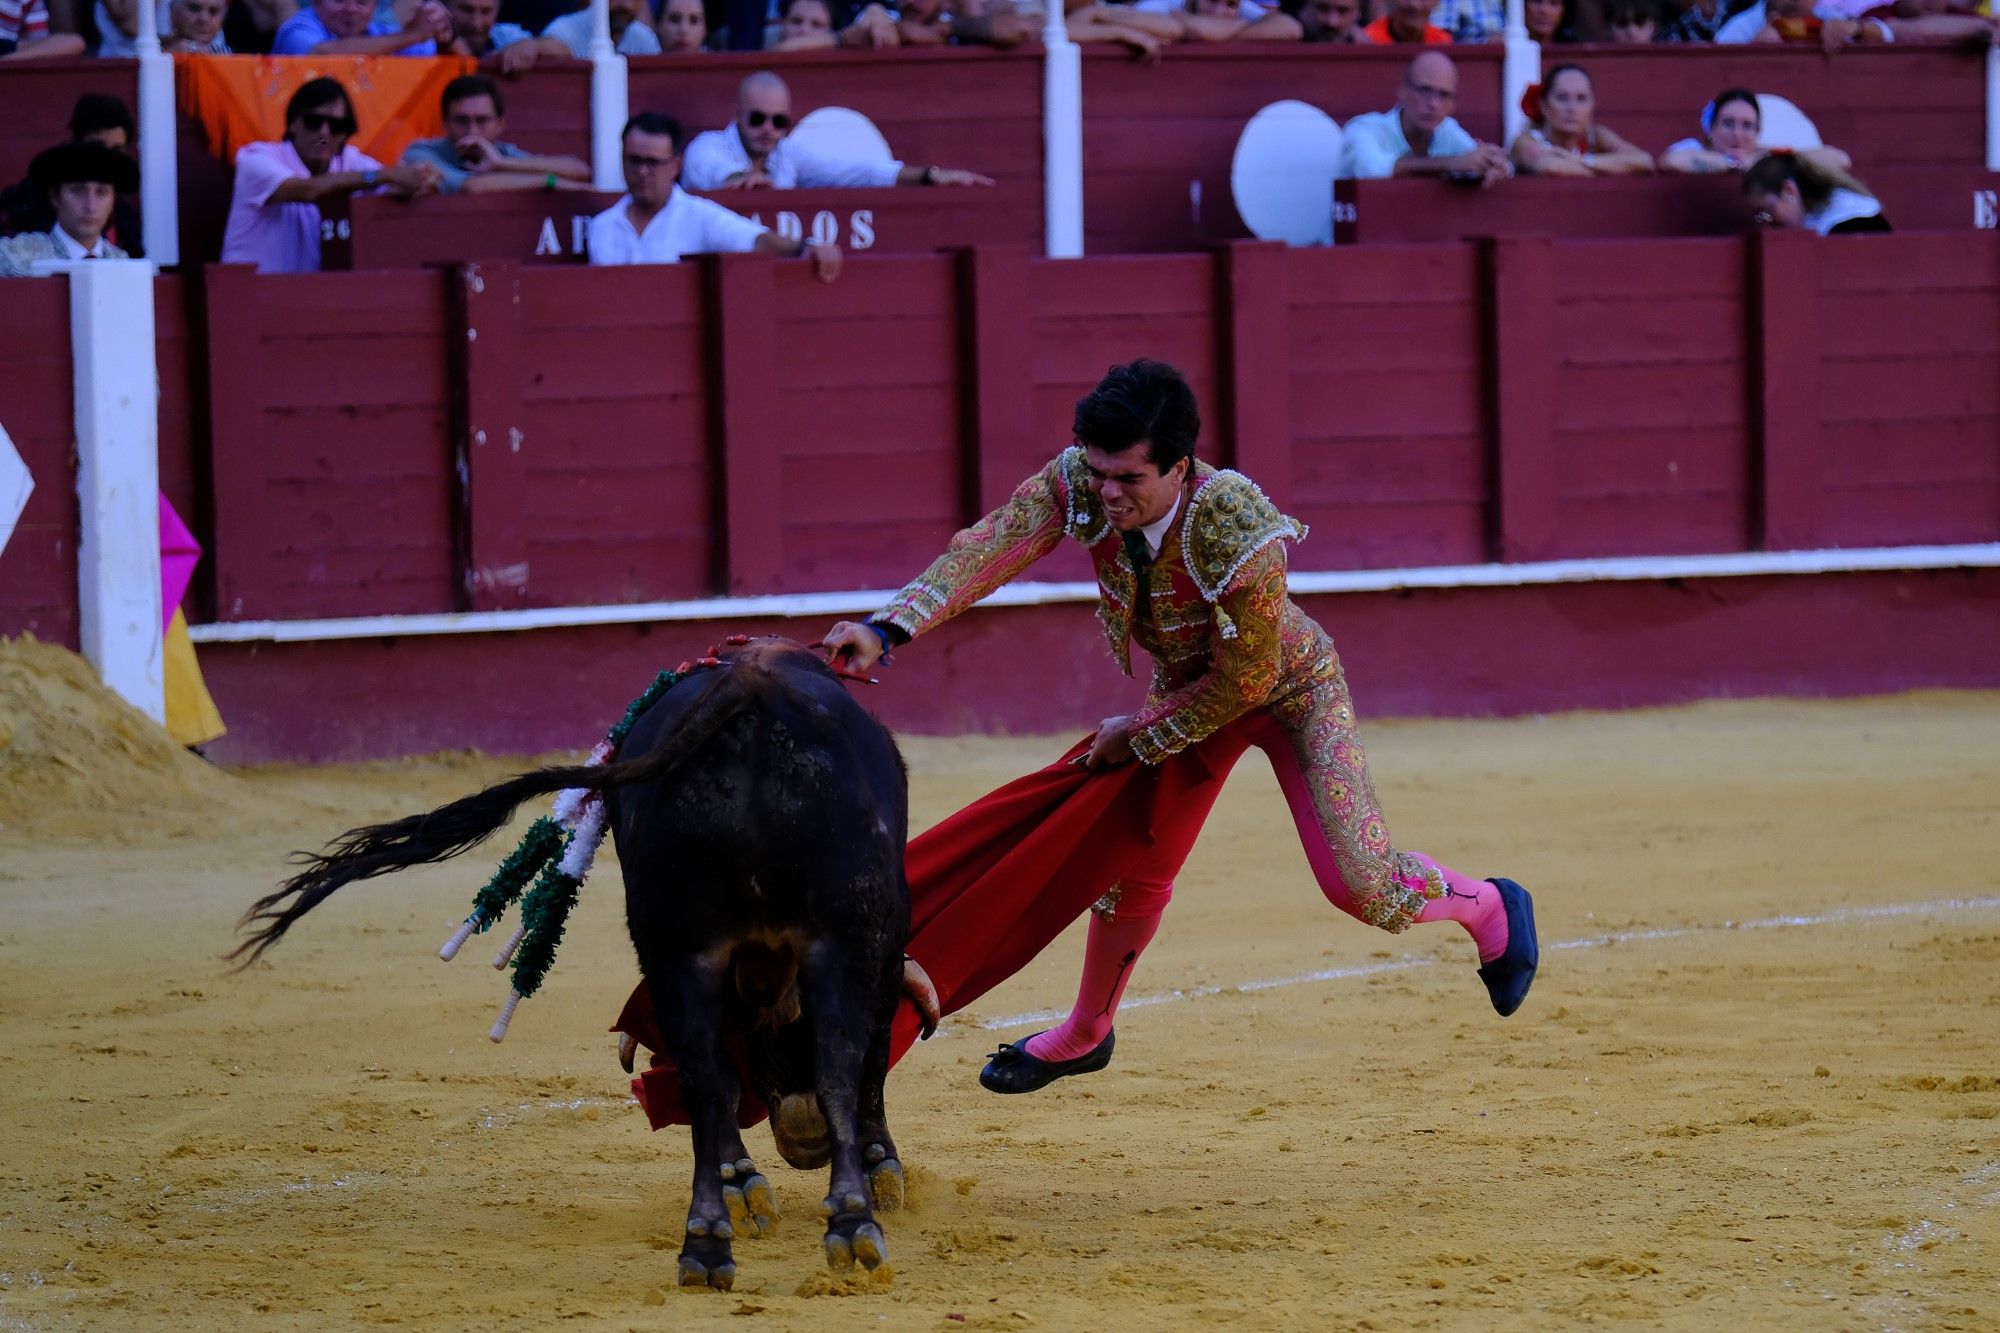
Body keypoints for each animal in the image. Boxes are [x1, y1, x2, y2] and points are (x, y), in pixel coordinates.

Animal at [234, 644, 916, 1288]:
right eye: (771, 1040)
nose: (806, 1142)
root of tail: (752, 688)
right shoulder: (876, 944)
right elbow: (867, 1055)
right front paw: (878, 1170)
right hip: (830, 937)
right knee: (834, 1063)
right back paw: (851, 1222)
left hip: (681, 949)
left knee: (709, 1080)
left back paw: (709, 1241)